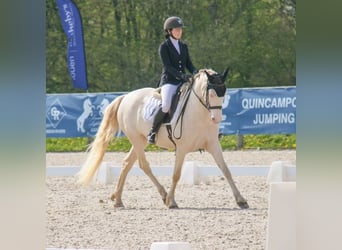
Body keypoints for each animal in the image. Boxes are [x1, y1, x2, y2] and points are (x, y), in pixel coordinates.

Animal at [77, 68, 248, 209]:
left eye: (224, 94)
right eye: (211, 94)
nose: (216, 119)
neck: (200, 114)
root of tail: (126, 97)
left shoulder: (213, 145)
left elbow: (226, 170)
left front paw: (241, 200)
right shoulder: (182, 148)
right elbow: (176, 175)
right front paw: (171, 202)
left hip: (141, 140)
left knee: (127, 163)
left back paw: (118, 199)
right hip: (136, 139)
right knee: (143, 165)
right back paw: (163, 195)